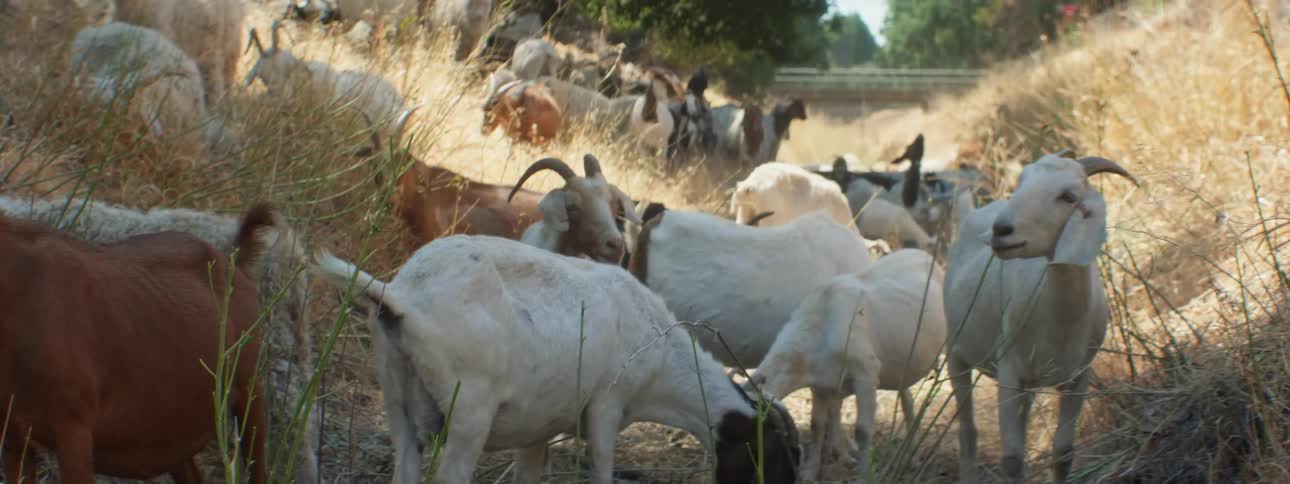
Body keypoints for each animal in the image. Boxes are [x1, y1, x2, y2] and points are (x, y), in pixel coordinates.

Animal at [311, 236, 801, 484]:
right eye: (774, 455)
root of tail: (404, 297)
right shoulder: (606, 406)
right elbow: (602, 468)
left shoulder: (537, 428)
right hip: (468, 411)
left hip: (397, 399)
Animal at [943, 151, 1137, 483]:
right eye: (1021, 181)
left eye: (1068, 196)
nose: (1000, 230)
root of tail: (972, 212)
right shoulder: (1009, 371)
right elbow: (1012, 459)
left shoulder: (1078, 377)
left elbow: (1063, 453)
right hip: (956, 352)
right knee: (968, 432)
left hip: (1029, 382)